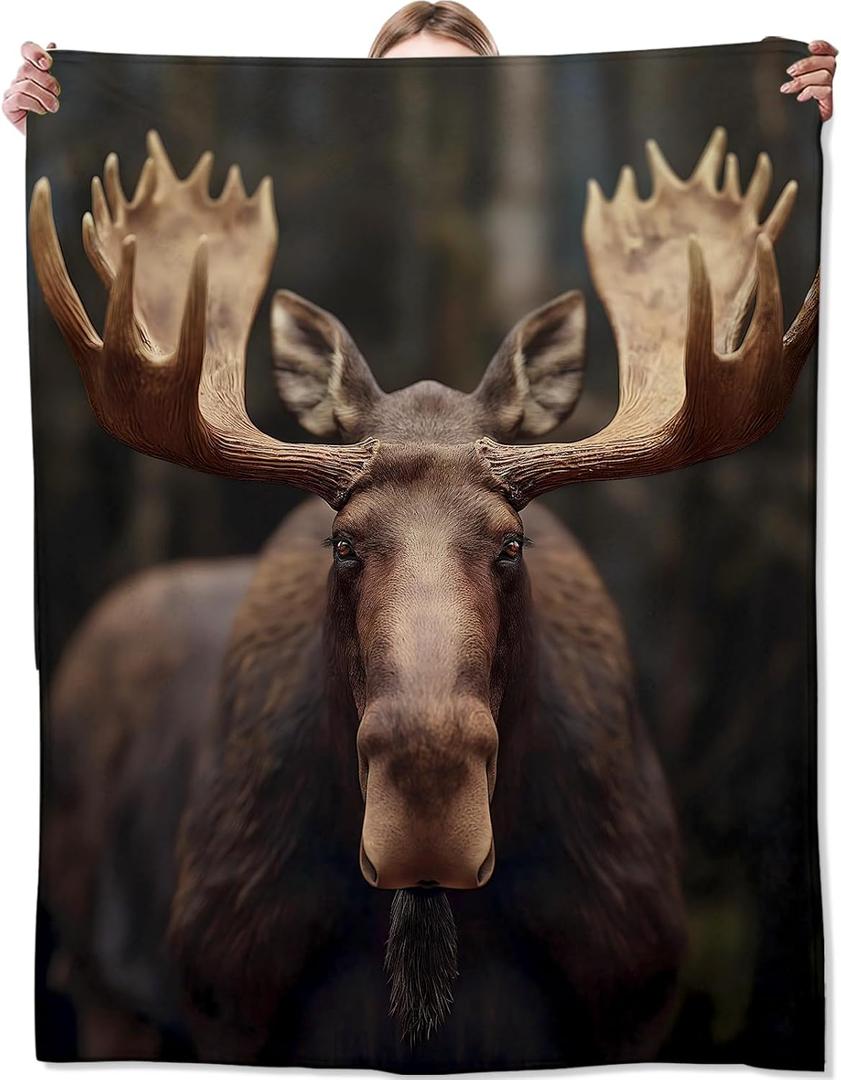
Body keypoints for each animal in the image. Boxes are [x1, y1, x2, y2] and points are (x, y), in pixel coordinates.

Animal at [29, 127, 818, 1069]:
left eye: (511, 542)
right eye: (342, 542)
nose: (427, 817)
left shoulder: (638, 996)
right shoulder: (221, 998)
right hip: (102, 981)